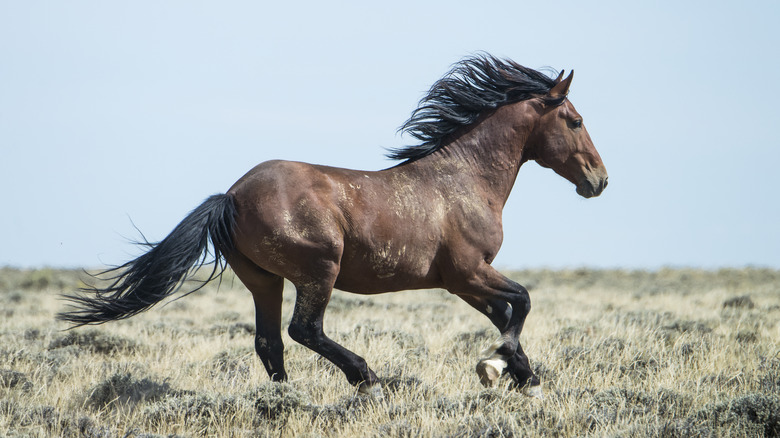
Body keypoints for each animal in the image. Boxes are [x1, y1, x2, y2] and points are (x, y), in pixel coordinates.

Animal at [59, 53, 608, 398]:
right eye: (576, 121)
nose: (599, 180)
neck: (463, 179)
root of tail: (231, 196)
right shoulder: (467, 273)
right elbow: (522, 303)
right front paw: (498, 367)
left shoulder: (465, 281)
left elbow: (506, 312)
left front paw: (520, 377)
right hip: (318, 270)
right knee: (304, 330)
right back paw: (367, 380)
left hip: (264, 280)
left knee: (270, 342)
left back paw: (285, 402)